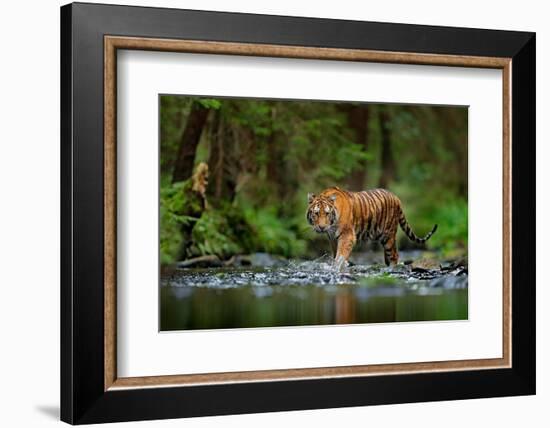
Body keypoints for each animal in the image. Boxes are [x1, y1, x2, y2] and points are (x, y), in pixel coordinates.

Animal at [306, 186, 440, 270]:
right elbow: (336, 254)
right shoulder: (333, 238)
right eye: (316, 213)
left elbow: (341, 254)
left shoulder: (347, 235)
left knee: (394, 255)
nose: (322, 227)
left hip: (388, 236)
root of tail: (396, 197)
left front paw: (337, 267)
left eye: (327, 213)